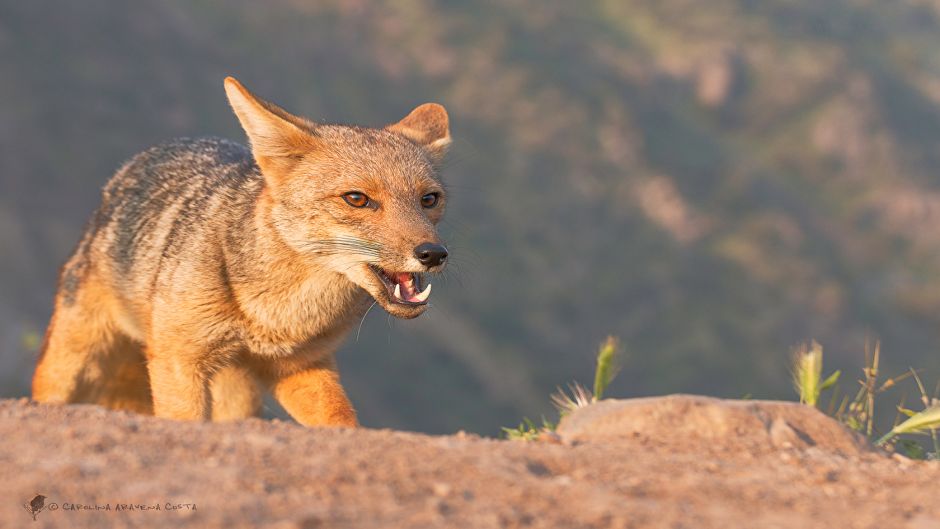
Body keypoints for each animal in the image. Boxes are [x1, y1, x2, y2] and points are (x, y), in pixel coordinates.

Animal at [31, 77, 452, 427]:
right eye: (357, 199)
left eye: (429, 200)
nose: (433, 254)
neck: (277, 315)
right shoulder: (179, 361)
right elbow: (184, 419)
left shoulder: (303, 366)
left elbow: (342, 421)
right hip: (72, 362)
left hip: (237, 393)